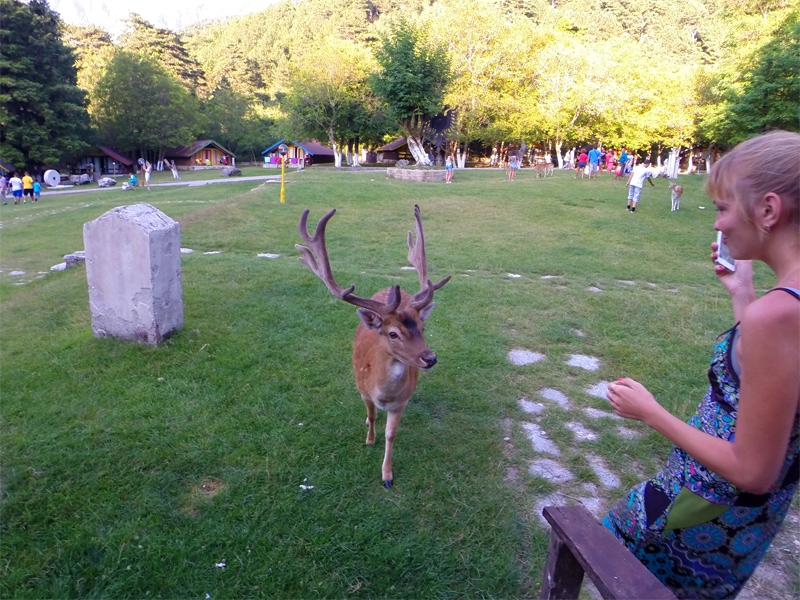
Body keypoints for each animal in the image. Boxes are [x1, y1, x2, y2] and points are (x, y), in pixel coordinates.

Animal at [296, 206, 450, 488]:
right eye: (393, 334)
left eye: (422, 329)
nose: (430, 358)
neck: (383, 394)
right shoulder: (363, 391)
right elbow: (374, 416)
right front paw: (369, 439)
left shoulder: (401, 403)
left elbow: (391, 434)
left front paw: (387, 475)